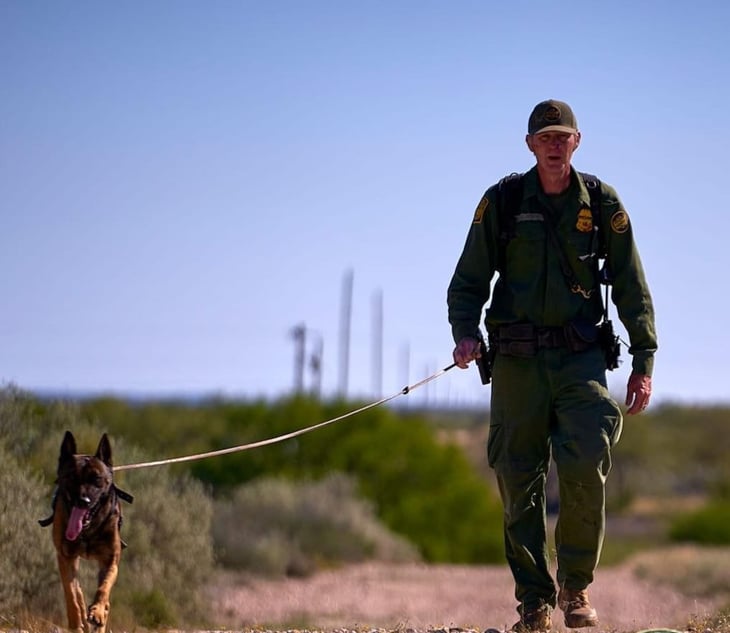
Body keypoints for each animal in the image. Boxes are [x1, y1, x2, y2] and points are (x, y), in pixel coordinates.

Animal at [39, 430, 134, 632]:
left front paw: (97, 612)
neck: (88, 530)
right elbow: (71, 594)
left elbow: (103, 588)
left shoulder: (110, 560)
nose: (83, 501)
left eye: (97, 479)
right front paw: (76, 622)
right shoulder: (65, 557)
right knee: (78, 592)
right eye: (72, 477)